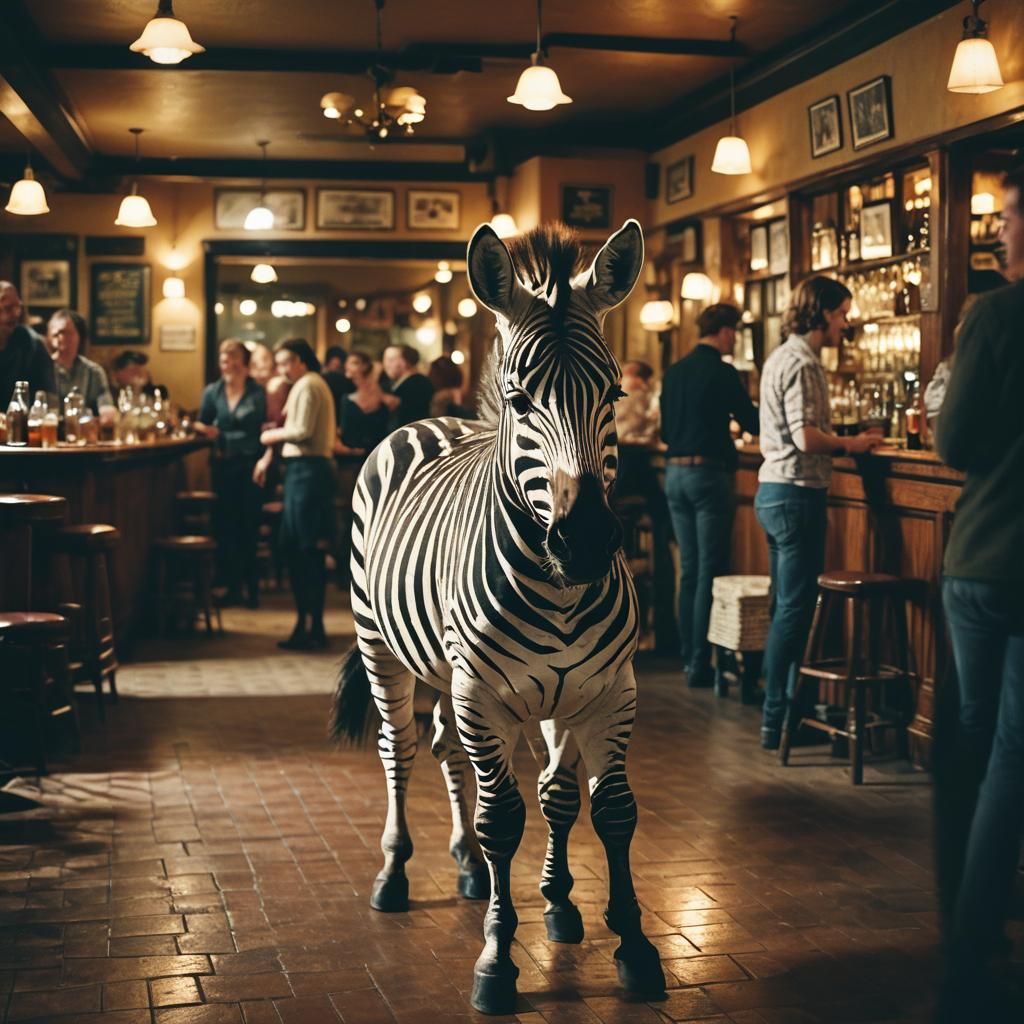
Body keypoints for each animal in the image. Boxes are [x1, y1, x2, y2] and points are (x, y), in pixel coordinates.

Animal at [332, 218, 665, 1014]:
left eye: (614, 391)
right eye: (519, 399)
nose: (586, 541)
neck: (560, 590)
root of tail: (427, 420)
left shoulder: (603, 693)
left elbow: (592, 805)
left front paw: (605, 929)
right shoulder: (483, 692)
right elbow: (504, 816)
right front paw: (497, 960)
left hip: (461, 680)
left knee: (453, 752)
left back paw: (468, 867)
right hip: (385, 650)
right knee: (401, 750)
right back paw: (395, 875)